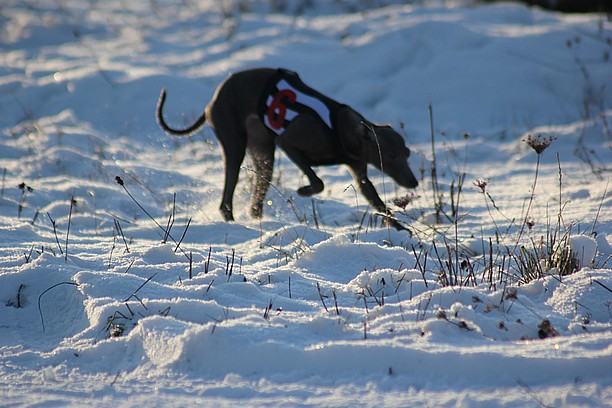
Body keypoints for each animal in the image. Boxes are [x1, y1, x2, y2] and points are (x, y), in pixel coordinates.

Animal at [155, 67, 418, 230]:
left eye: (407, 154)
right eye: (391, 155)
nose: (414, 183)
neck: (339, 127)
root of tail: (213, 99)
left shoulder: (359, 170)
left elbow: (376, 200)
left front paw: (400, 229)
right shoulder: (288, 144)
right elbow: (318, 182)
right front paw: (304, 190)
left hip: (262, 151)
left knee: (258, 189)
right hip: (235, 144)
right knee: (227, 196)